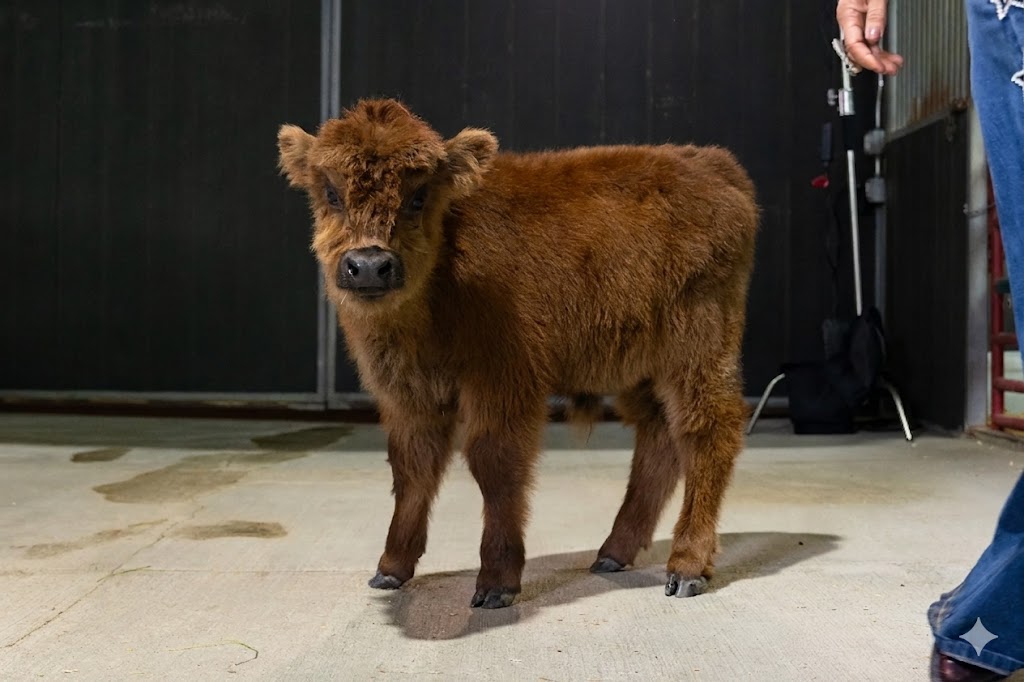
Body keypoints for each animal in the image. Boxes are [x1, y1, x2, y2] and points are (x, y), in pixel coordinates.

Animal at [277, 98, 759, 609]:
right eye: (330, 192)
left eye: (419, 196)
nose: (369, 265)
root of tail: (712, 164)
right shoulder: (408, 398)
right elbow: (412, 469)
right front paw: (390, 569)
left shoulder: (504, 386)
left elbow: (495, 465)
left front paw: (496, 581)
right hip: (641, 369)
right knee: (659, 437)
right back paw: (613, 553)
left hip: (698, 350)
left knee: (707, 431)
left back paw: (686, 567)